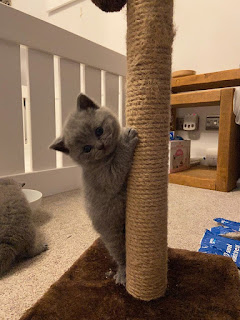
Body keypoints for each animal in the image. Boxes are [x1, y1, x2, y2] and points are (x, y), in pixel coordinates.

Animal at [49, 94, 138, 284]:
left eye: (99, 131)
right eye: (87, 149)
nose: (100, 146)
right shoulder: (105, 177)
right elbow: (119, 163)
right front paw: (126, 140)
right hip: (111, 233)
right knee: (120, 255)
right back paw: (123, 274)